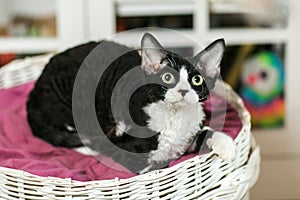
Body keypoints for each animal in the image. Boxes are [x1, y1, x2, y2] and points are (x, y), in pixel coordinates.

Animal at [27, 32, 236, 173]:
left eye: (197, 80)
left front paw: (228, 147)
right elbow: (157, 168)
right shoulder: (129, 154)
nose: (183, 91)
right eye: (167, 77)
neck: (174, 117)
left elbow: (205, 133)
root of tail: (32, 94)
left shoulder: (188, 135)